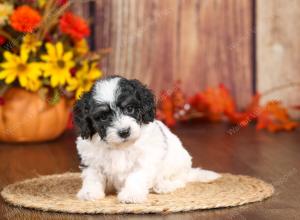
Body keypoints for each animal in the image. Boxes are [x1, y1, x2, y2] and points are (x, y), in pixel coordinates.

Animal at [73, 76, 220, 204]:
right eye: (103, 117)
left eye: (130, 109)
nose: (124, 132)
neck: (120, 146)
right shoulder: (91, 160)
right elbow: (92, 176)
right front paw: (89, 193)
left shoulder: (145, 159)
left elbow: (136, 177)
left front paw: (131, 195)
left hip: (178, 162)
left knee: (180, 180)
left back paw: (163, 186)